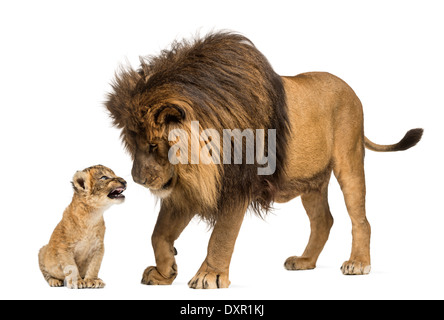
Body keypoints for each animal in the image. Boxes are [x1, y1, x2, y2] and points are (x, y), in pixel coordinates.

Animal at [105, 31, 424, 288]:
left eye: (153, 144)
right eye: (132, 145)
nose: (137, 180)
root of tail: (350, 89)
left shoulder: (236, 184)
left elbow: (221, 235)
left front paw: (210, 276)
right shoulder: (187, 187)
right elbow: (158, 234)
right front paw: (165, 271)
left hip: (349, 160)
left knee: (361, 218)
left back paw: (358, 263)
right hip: (311, 181)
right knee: (324, 220)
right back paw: (305, 261)